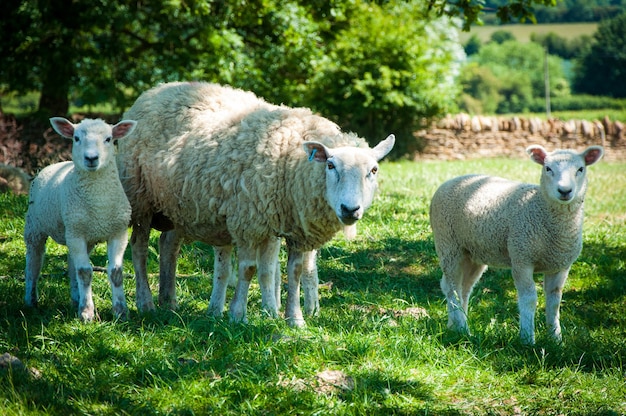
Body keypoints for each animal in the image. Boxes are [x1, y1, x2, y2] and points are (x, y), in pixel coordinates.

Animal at [25, 117, 136, 322]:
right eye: (76, 138)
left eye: (109, 139)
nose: (91, 158)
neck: (99, 204)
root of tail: (56, 164)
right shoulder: (76, 234)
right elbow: (85, 272)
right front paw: (87, 314)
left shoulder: (118, 232)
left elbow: (116, 272)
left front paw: (121, 312)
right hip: (35, 227)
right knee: (33, 264)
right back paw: (31, 301)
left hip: (81, 235)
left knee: (71, 266)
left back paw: (76, 298)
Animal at [117, 81, 392, 326]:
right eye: (331, 165)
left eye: (374, 170)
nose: (350, 209)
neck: (290, 159)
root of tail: (158, 89)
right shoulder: (248, 222)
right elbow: (248, 269)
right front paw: (238, 315)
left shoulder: (292, 228)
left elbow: (293, 271)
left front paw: (294, 320)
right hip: (140, 200)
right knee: (139, 250)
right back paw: (146, 303)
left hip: (175, 206)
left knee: (168, 246)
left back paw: (169, 301)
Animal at [428, 146, 600, 344]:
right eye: (548, 168)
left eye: (581, 169)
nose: (564, 191)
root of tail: (450, 181)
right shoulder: (521, 258)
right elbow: (529, 298)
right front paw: (527, 339)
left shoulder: (560, 265)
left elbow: (554, 301)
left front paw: (556, 339)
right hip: (448, 244)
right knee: (453, 288)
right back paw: (463, 329)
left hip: (472, 253)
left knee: (461, 288)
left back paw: (454, 326)